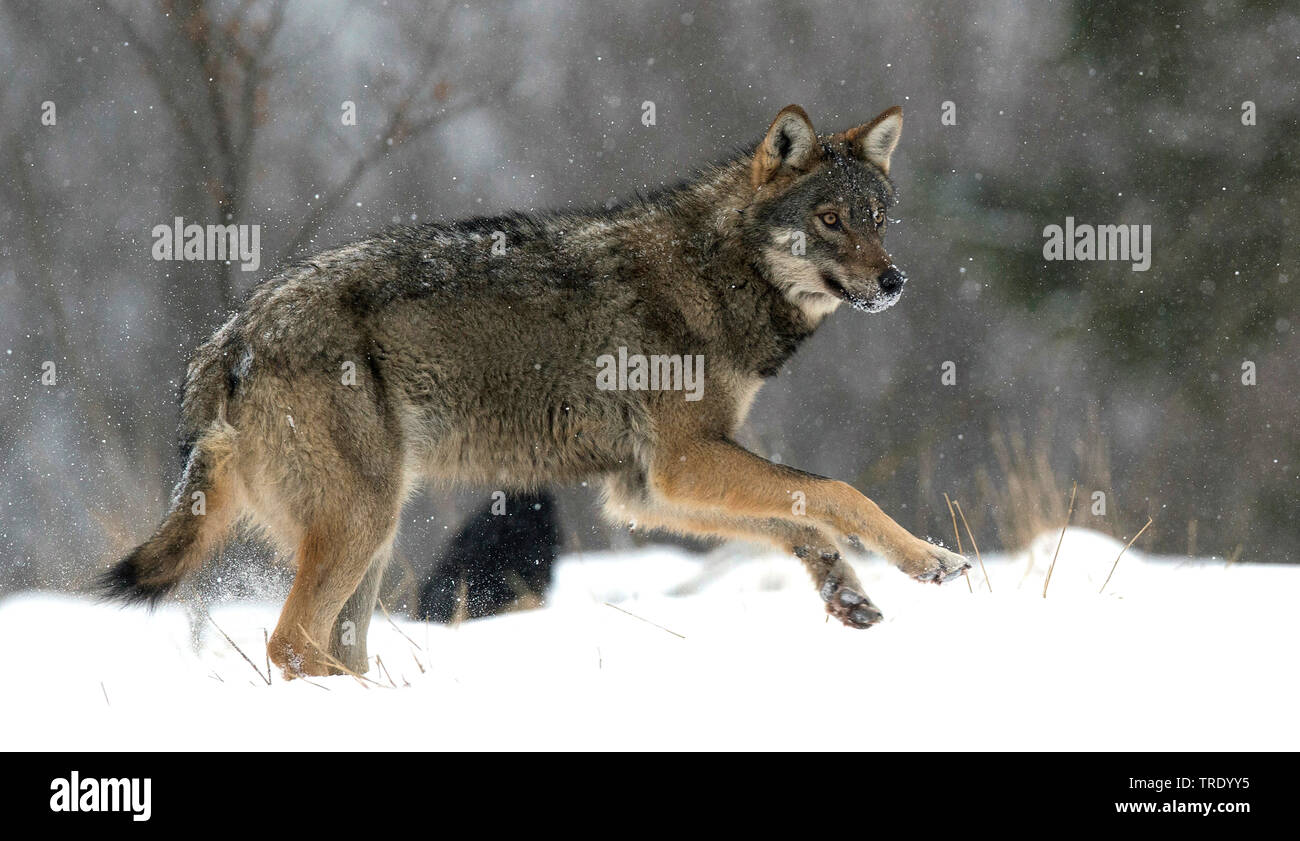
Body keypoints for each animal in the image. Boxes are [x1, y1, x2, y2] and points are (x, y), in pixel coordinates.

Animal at [100, 104, 969, 678]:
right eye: (829, 219)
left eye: (878, 217)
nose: (894, 281)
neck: (716, 273)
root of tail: (229, 340)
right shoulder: (687, 461)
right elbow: (837, 491)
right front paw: (930, 558)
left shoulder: (646, 487)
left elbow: (796, 521)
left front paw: (846, 591)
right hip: (363, 520)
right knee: (288, 642)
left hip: (372, 536)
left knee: (327, 647)